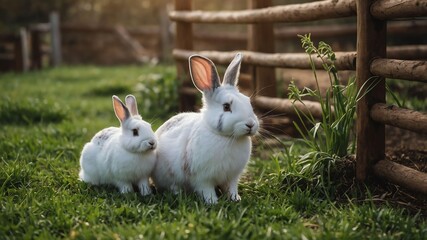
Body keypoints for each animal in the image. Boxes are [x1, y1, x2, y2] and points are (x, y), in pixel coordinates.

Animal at [154, 53, 260, 203]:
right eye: (226, 106)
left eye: (248, 102)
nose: (250, 124)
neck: (226, 137)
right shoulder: (202, 178)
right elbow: (206, 190)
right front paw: (212, 202)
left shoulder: (232, 177)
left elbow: (231, 187)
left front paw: (235, 198)